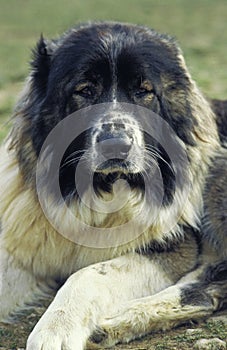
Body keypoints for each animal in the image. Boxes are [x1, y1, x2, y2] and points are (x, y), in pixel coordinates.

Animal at [0, 21, 227, 350]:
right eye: (84, 90)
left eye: (144, 91)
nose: (116, 145)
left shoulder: (174, 247)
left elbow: (90, 274)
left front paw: (55, 329)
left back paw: (122, 319)